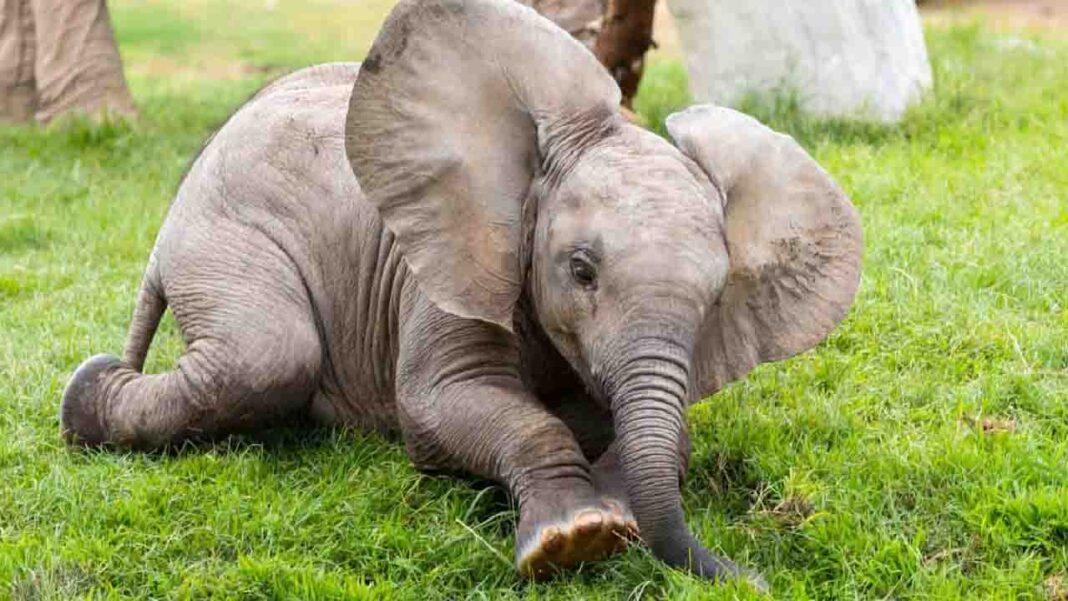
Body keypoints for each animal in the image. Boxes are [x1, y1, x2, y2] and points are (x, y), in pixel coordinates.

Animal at [60, 0, 862, 585]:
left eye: (716, 295)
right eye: (580, 270)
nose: (752, 578)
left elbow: (665, 431)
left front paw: (612, 509)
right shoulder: (442, 269)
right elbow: (445, 403)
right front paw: (575, 539)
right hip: (223, 232)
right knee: (267, 356)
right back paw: (85, 395)